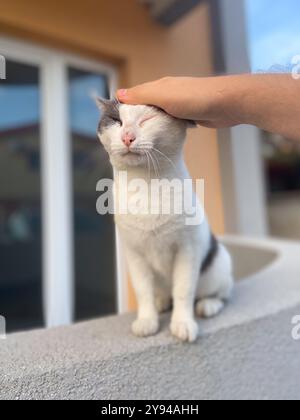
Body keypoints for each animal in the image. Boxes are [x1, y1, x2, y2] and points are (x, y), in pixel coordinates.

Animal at [97, 97, 233, 342]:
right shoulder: (135, 254)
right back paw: (161, 303)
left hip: (218, 266)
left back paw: (208, 305)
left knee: (222, 293)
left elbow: (183, 290)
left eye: (147, 119)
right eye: (116, 120)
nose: (127, 136)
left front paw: (182, 323)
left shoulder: (187, 250)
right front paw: (147, 320)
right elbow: (143, 290)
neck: (145, 185)